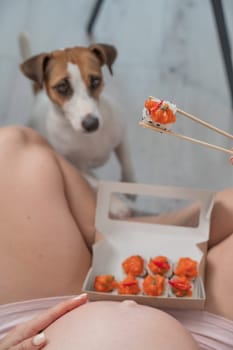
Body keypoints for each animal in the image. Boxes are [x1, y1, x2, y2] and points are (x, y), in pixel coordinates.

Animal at [19, 34, 136, 217]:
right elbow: (98, 183)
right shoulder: (75, 168)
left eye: (95, 80)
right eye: (62, 87)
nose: (91, 124)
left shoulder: (121, 137)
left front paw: (130, 183)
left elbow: (127, 162)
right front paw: (116, 204)